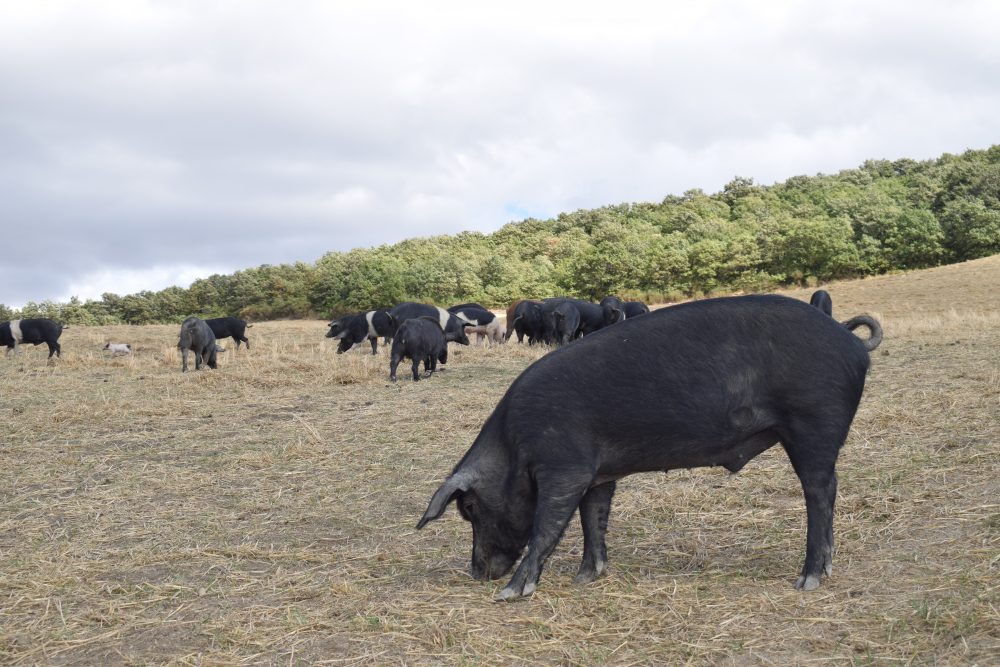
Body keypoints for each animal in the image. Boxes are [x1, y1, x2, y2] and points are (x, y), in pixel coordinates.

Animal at [418, 296, 888, 600]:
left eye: (470, 509)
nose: (477, 573)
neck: (513, 447)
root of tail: (850, 340)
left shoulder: (564, 468)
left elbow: (546, 527)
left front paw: (511, 593)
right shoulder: (599, 474)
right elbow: (594, 519)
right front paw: (586, 577)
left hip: (814, 424)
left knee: (820, 492)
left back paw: (807, 580)